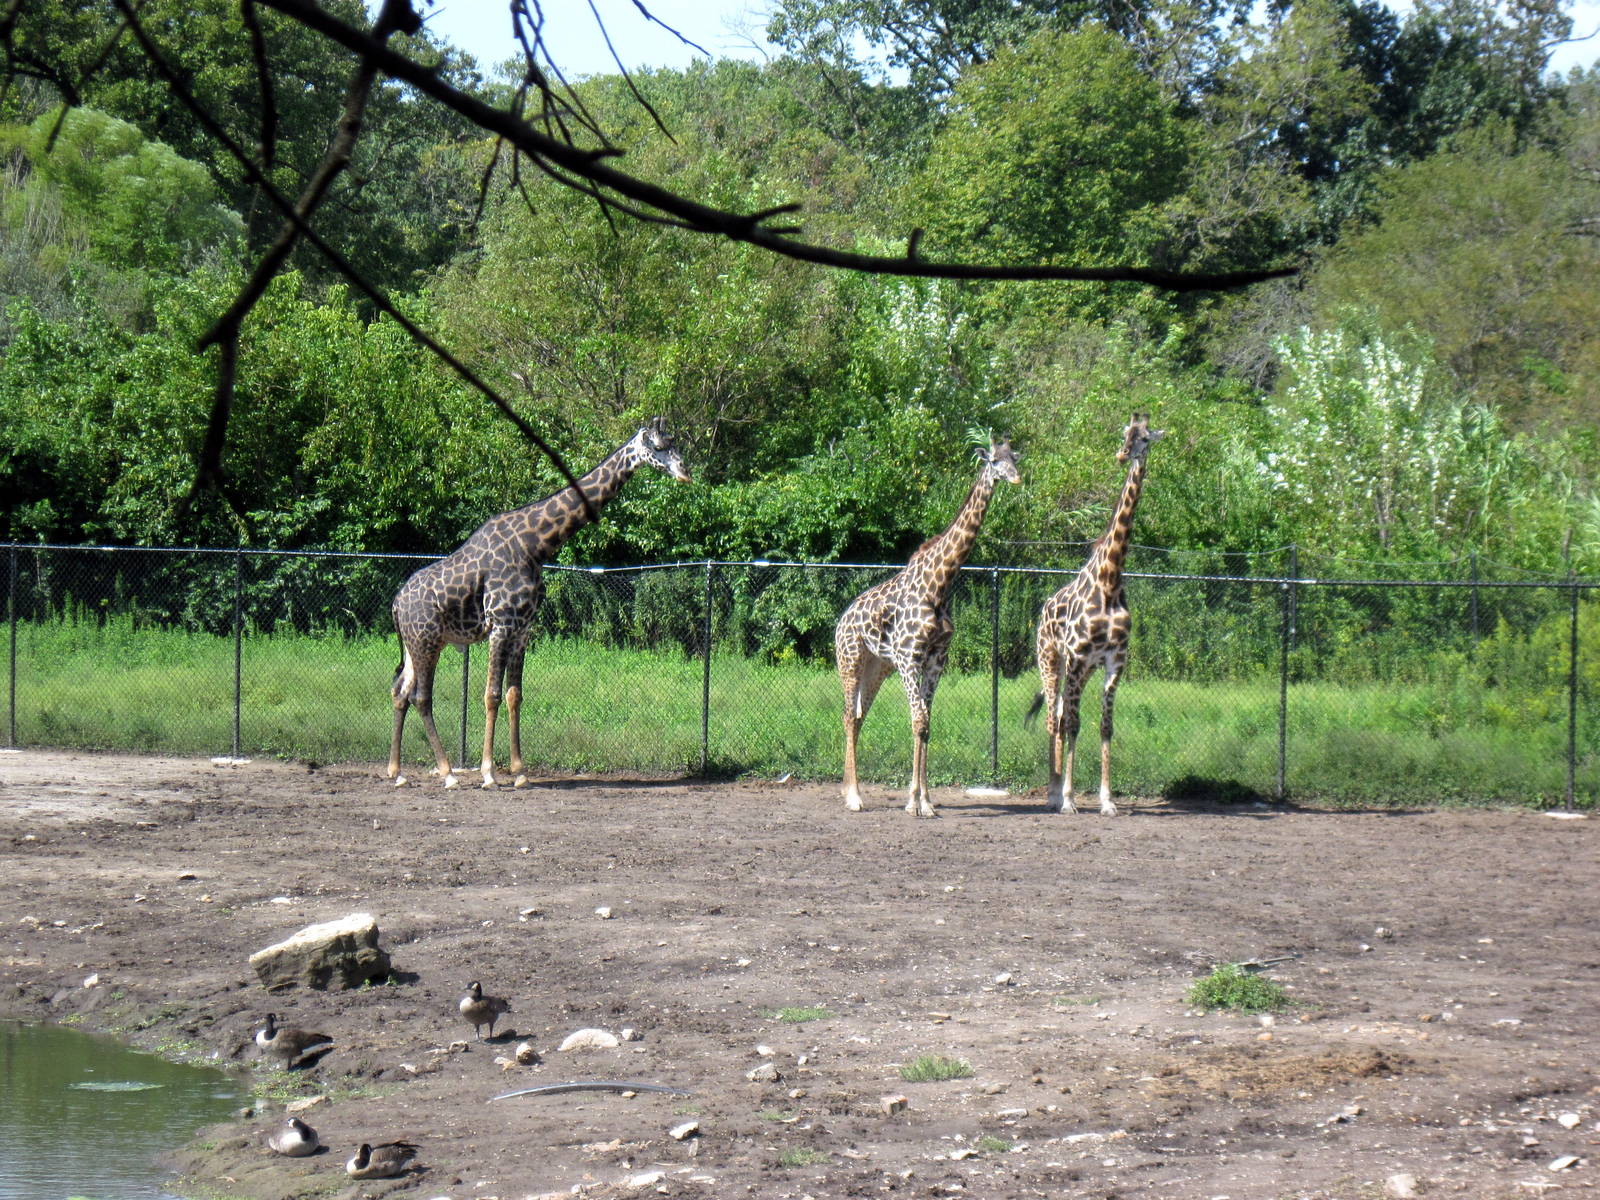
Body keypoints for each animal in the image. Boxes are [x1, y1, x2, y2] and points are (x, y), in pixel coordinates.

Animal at [387, 416, 690, 789]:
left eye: (676, 443)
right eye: (659, 446)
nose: (685, 471)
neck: (536, 546)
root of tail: (396, 604)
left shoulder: (523, 630)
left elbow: (514, 694)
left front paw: (520, 772)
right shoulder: (501, 624)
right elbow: (491, 695)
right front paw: (489, 773)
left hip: (419, 642)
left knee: (400, 691)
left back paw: (397, 772)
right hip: (426, 640)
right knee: (421, 696)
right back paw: (448, 774)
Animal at [835, 437, 1021, 818]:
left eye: (1015, 458)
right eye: (994, 461)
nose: (1015, 478)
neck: (940, 584)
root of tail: (842, 619)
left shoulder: (937, 658)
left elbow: (927, 724)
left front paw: (925, 801)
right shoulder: (909, 657)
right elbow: (918, 719)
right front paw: (914, 803)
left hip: (878, 667)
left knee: (859, 717)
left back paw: (852, 791)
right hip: (851, 660)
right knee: (848, 715)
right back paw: (854, 797)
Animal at [1031, 412, 1164, 815]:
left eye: (1145, 438)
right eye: (1125, 434)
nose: (1124, 455)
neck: (1109, 580)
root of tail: (1044, 609)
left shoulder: (1113, 660)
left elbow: (1105, 726)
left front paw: (1107, 801)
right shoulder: (1077, 656)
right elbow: (1073, 725)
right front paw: (1069, 799)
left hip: (1083, 670)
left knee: (1060, 713)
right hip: (1052, 661)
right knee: (1054, 719)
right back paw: (1053, 793)